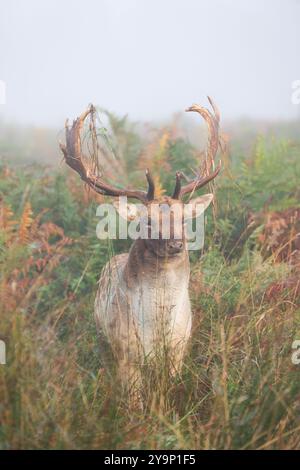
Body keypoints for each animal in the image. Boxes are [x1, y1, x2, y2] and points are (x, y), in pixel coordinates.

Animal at [59, 98, 221, 404]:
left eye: (185, 220)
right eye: (148, 221)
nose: (176, 244)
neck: (157, 332)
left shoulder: (179, 350)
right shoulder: (126, 356)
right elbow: (135, 405)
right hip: (102, 341)